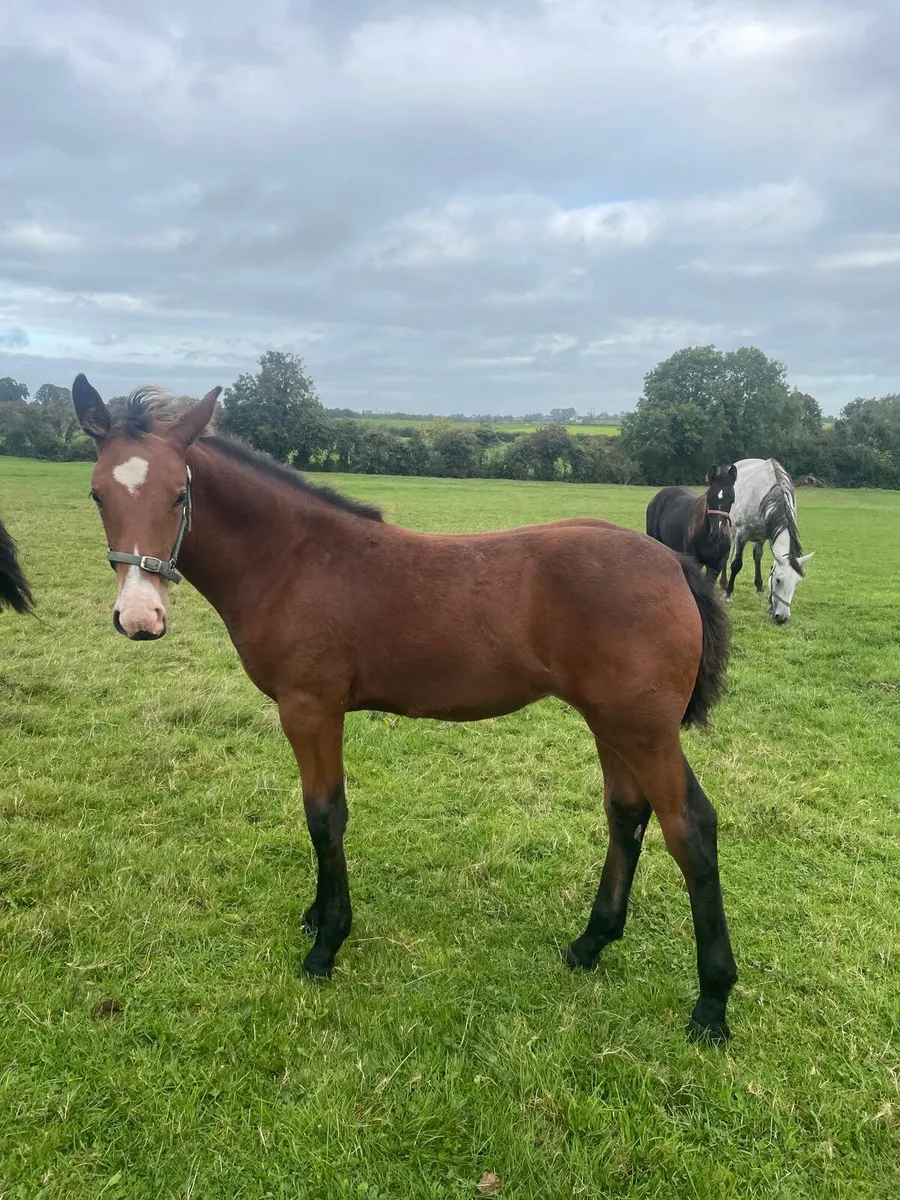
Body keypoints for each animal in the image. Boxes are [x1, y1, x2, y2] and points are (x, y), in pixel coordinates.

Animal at [71, 374, 737, 1042]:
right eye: (97, 494)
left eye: (180, 494)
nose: (140, 617)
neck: (293, 560)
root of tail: (673, 564)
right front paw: (316, 915)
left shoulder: (310, 709)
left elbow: (325, 816)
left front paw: (326, 943)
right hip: (611, 724)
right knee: (627, 815)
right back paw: (589, 944)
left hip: (645, 730)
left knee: (690, 829)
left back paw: (712, 1003)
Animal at [723, 458, 815, 624]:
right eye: (778, 580)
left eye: (797, 583)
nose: (782, 618)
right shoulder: (741, 535)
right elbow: (736, 565)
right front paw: (728, 594)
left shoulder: (766, 535)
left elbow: (762, 559)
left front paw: (769, 602)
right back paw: (723, 583)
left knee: (756, 555)